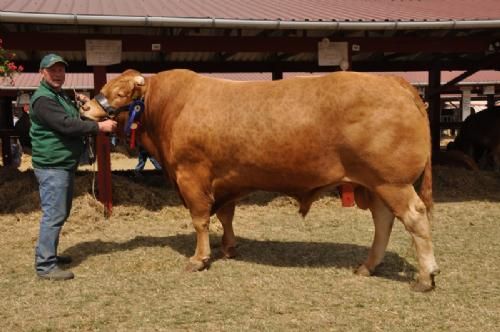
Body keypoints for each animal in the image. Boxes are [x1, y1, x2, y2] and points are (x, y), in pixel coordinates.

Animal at [83, 69, 442, 290]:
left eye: (119, 92)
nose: (86, 107)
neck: (169, 108)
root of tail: (393, 81)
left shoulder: (191, 175)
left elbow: (200, 219)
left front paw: (199, 259)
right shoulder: (225, 181)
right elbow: (225, 214)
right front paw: (228, 247)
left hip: (392, 182)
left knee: (413, 217)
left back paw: (425, 277)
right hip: (375, 184)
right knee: (384, 221)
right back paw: (368, 266)